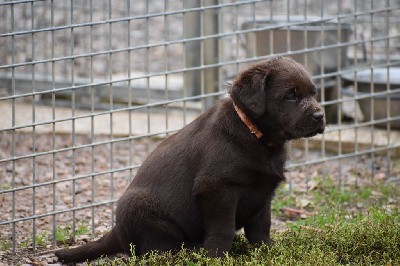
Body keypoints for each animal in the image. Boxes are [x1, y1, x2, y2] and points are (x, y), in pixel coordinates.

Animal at [55, 57, 324, 262]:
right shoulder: (217, 189)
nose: (320, 115)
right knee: (156, 249)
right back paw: (189, 251)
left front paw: (267, 251)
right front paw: (216, 257)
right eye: (290, 96)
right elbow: (223, 229)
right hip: (138, 206)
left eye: (313, 93)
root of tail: (117, 232)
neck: (255, 135)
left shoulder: (263, 191)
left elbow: (261, 226)